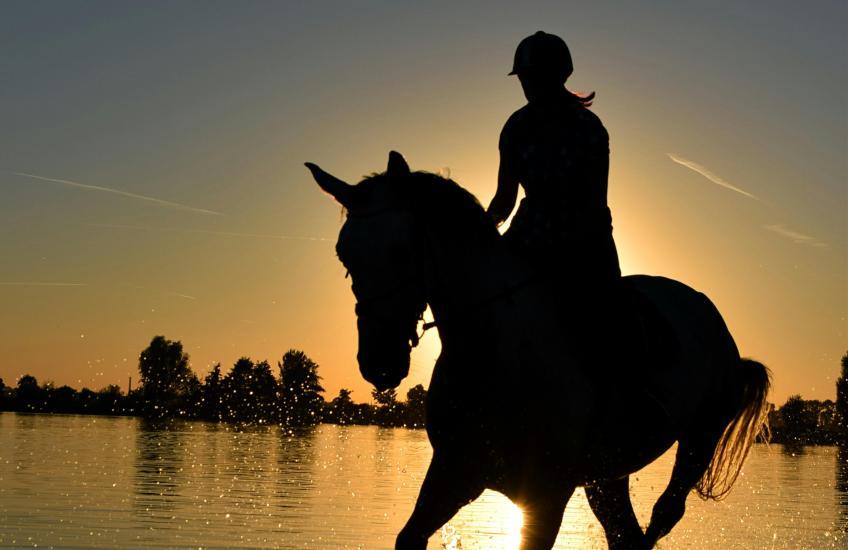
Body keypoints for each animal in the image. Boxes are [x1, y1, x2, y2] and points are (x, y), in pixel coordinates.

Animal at [306, 151, 771, 549]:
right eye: (343, 253)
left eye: (402, 250)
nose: (379, 364)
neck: (498, 350)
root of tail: (710, 315)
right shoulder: (456, 472)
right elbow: (409, 536)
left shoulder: (546, 493)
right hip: (607, 475)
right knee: (626, 533)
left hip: (698, 440)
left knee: (662, 515)